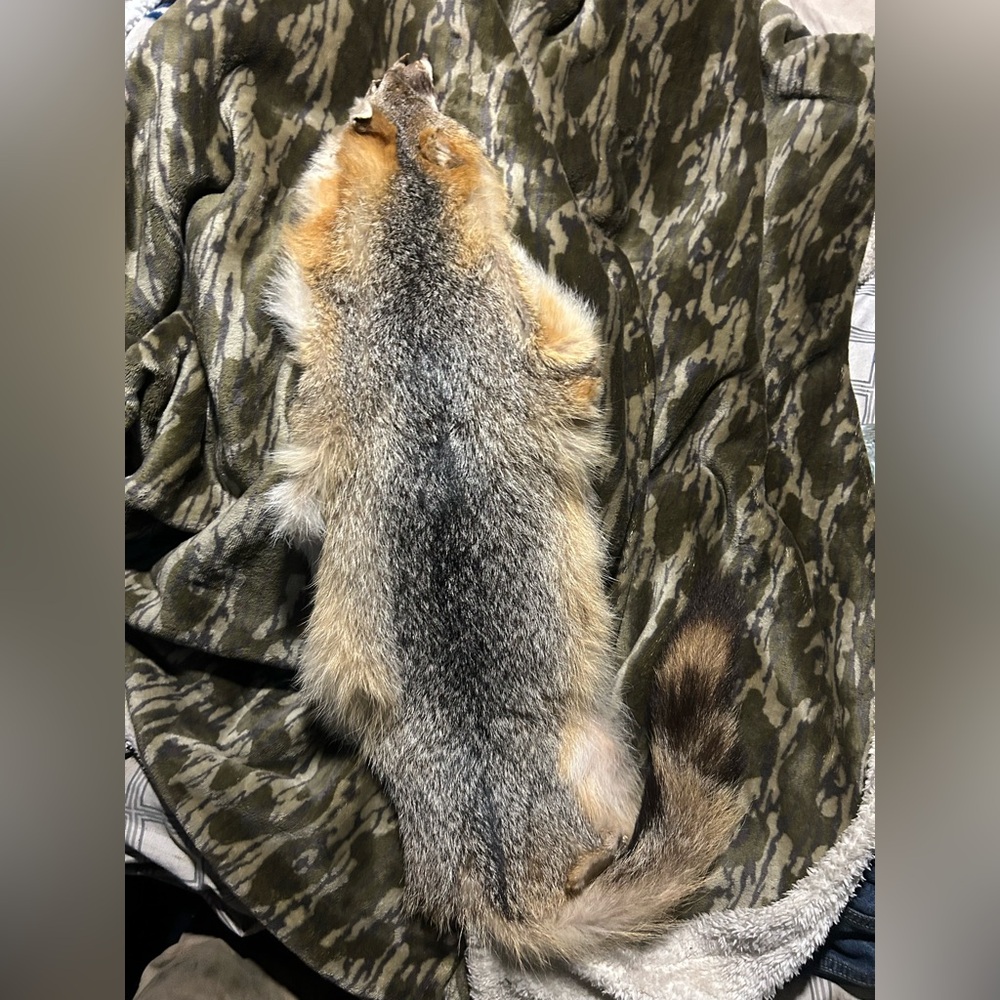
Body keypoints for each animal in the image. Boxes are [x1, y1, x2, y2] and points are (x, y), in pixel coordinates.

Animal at [265, 56, 747, 966]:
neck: (412, 274)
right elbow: (582, 353)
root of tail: (503, 887)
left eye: (371, 109)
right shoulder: (545, 325)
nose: (412, 63)